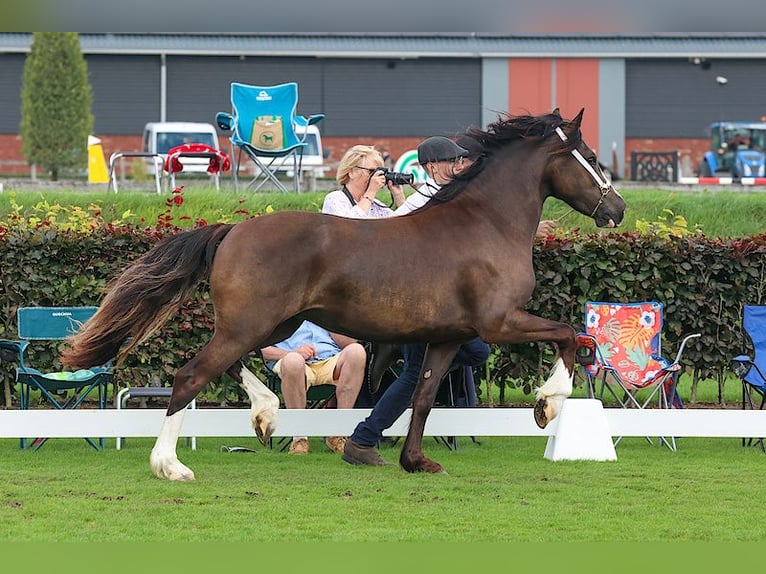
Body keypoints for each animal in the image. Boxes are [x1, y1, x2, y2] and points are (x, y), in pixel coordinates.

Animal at [60, 108, 624, 482]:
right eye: (592, 156)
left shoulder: (447, 337)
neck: (487, 223)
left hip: (270, 324)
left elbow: (421, 398)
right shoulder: (500, 321)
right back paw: (171, 465)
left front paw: (415, 461)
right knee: (190, 375)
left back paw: (265, 414)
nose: (616, 209)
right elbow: (570, 337)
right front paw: (547, 406)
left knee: (227, 365)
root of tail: (232, 231)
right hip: (252, 324)